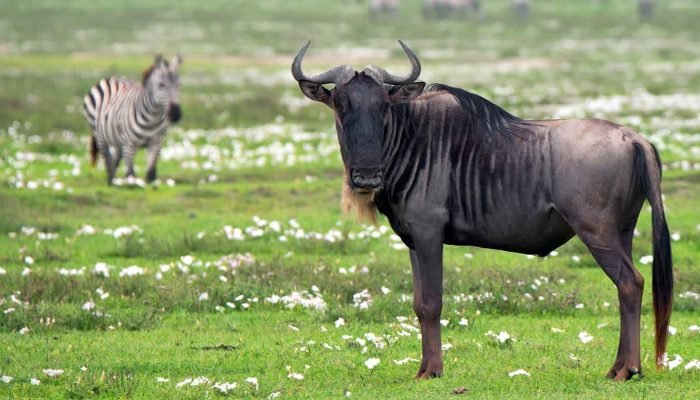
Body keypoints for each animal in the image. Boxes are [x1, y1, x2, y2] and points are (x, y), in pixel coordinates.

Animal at [82, 54, 183, 185]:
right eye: (161, 84)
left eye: (178, 85)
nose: (176, 114)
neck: (152, 118)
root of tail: (110, 78)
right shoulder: (129, 144)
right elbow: (130, 173)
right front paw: (132, 185)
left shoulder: (156, 143)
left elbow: (151, 173)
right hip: (99, 134)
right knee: (107, 158)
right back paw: (111, 181)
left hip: (117, 138)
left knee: (116, 158)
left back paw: (115, 180)